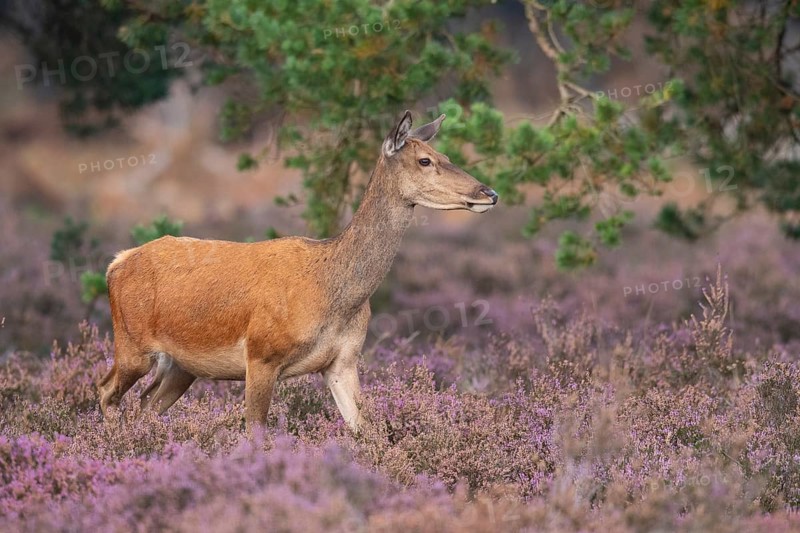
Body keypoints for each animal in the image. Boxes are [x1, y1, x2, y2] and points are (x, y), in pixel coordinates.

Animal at [97, 110, 498, 432]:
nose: (489, 193)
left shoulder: (343, 361)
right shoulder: (261, 354)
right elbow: (256, 434)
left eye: (446, 156)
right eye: (425, 160)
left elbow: (369, 432)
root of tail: (116, 263)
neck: (335, 293)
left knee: (146, 404)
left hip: (181, 367)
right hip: (132, 344)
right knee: (105, 391)